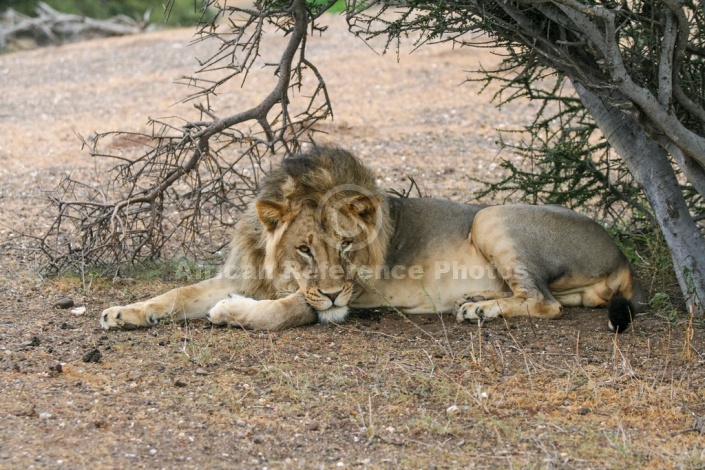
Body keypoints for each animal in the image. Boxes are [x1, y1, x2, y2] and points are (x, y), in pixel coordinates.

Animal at [102, 145, 648, 332]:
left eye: (345, 246)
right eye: (304, 248)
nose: (330, 292)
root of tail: (621, 252)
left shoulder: (356, 288)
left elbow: (289, 309)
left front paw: (232, 312)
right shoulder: (247, 272)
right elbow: (179, 293)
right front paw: (124, 313)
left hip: (491, 217)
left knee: (543, 303)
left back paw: (480, 309)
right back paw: (475, 300)